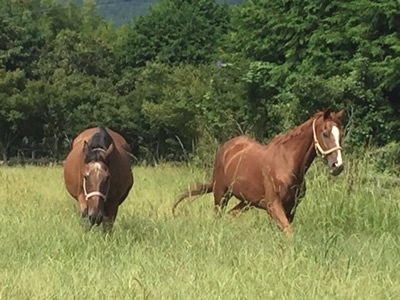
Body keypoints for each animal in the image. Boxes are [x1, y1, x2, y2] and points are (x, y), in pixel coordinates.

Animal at [173, 109, 346, 236]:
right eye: (325, 133)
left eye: (340, 134)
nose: (337, 165)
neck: (287, 163)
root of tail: (226, 147)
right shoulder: (273, 205)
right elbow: (289, 232)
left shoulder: (291, 208)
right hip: (221, 193)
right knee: (218, 215)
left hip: (247, 201)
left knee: (230, 215)